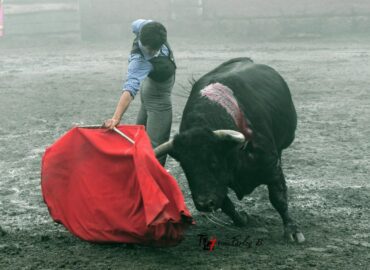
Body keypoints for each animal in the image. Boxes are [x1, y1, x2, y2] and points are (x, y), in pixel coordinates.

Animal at [155, 57, 304, 243]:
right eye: (185, 167)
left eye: (213, 161)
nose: (204, 204)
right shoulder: (219, 185)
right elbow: (226, 204)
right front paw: (242, 219)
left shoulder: (271, 166)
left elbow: (279, 198)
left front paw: (293, 230)